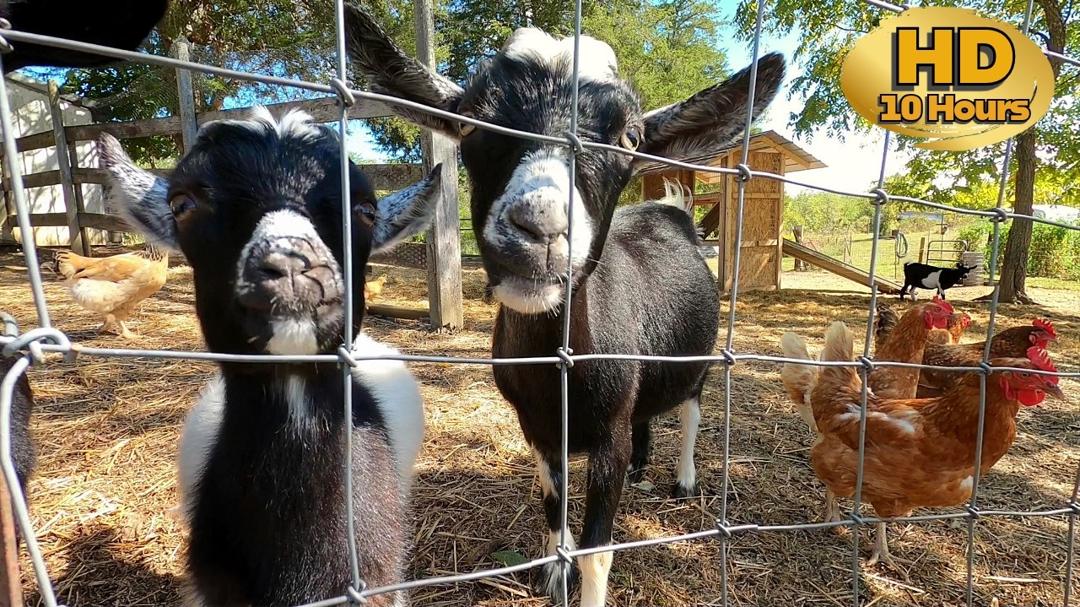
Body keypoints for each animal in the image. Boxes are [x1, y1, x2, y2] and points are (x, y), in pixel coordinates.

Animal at [345, 6, 784, 605]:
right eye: (470, 122)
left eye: (630, 136)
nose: (540, 227)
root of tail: (671, 209)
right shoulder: (535, 425)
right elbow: (553, 503)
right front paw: (555, 572)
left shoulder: (608, 434)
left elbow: (601, 548)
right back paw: (645, 466)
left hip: (697, 361)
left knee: (692, 406)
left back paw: (684, 477)